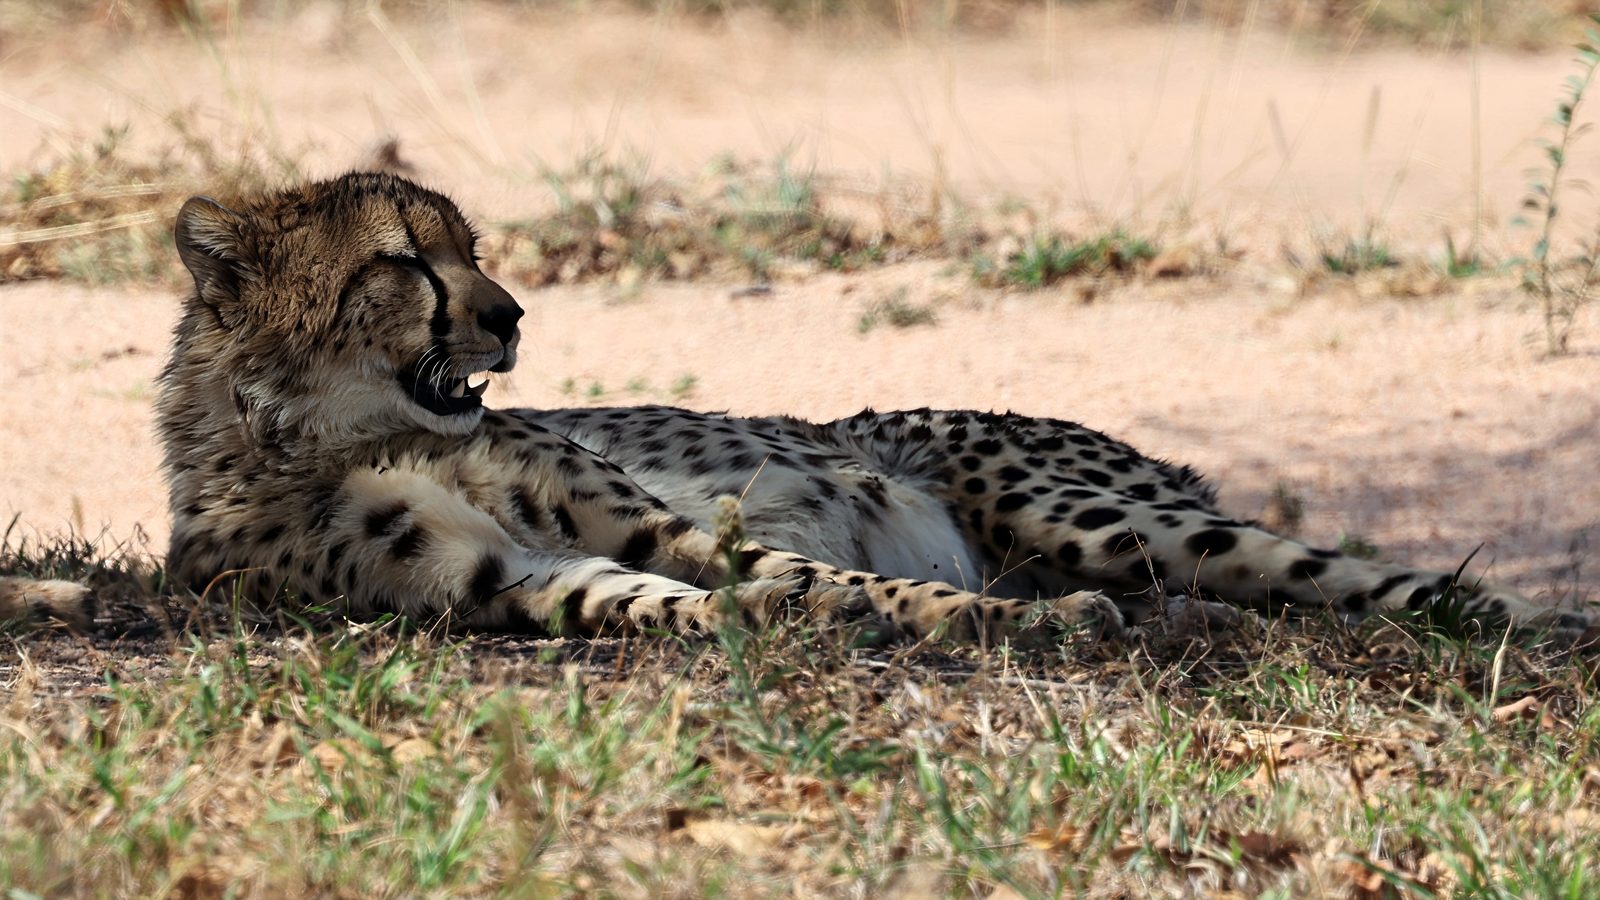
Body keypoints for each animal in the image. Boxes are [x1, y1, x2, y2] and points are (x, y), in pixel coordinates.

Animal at [5, 171, 1592, 647]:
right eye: (405, 260)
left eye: (472, 244)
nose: (511, 314)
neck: (354, 425)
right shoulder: (505, 577)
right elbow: (665, 599)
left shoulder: (640, 513)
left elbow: (788, 566)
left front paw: (958, 620)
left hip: (1116, 514)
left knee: (1387, 579)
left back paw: (1538, 621)